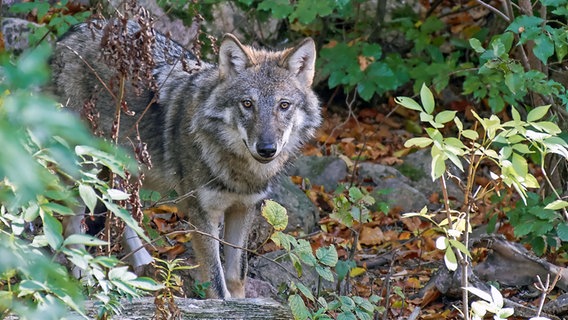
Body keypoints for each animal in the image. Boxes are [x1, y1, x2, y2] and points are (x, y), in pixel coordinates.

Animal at [51, 20, 322, 298]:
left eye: (284, 105)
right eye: (247, 104)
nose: (267, 149)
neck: (238, 171)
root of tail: (72, 32)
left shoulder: (244, 209)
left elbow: (236, 276)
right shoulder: (202, 215)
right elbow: (216, 283)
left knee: (119, 213)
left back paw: (144, 270)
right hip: (86, 167)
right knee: (71, 221)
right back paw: (82, 273)